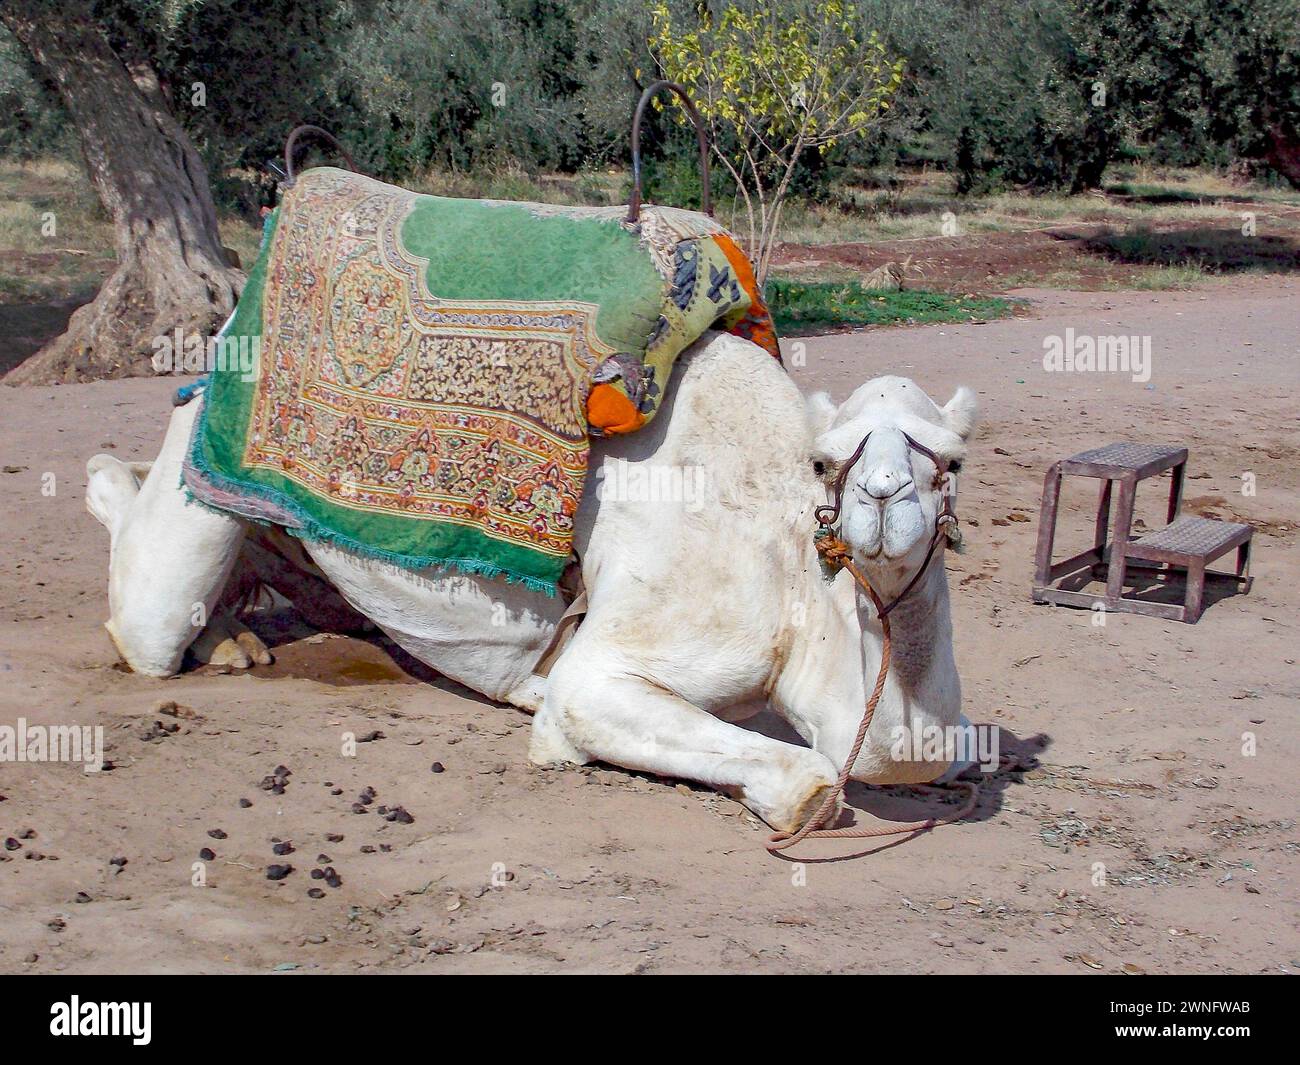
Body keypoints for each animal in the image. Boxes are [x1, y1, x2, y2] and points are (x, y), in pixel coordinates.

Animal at [86, 332, 977, 832]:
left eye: (953, 460)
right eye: (828, 462)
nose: (883, 497)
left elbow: (943, 748)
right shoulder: (618, 660)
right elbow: (810, 781)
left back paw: (234, 638)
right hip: (196, 454)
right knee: (145, 605)